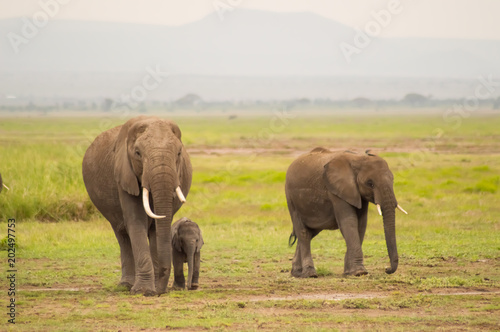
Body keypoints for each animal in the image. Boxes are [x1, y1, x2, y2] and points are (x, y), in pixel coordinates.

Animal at [82, 116, 191, 296]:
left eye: (179, 153)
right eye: (138, 153)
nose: (160, 291)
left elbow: (157, 227)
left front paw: (152, 289)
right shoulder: (124, 175)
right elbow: (136, 221)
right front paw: (143, 291)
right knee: (122, 235)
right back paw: (125, 286)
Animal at [286, 148, 406, 278]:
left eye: (393, 180)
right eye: (370, 183)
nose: (387, 269)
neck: (358, 159)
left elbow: (361, 224)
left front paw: (349, 272)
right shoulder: (336, 191)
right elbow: (349, 222)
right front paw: (359, 272)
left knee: (310, 233)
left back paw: (297, 273)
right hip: (291, 200)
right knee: (303, 233)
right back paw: (310, 274)